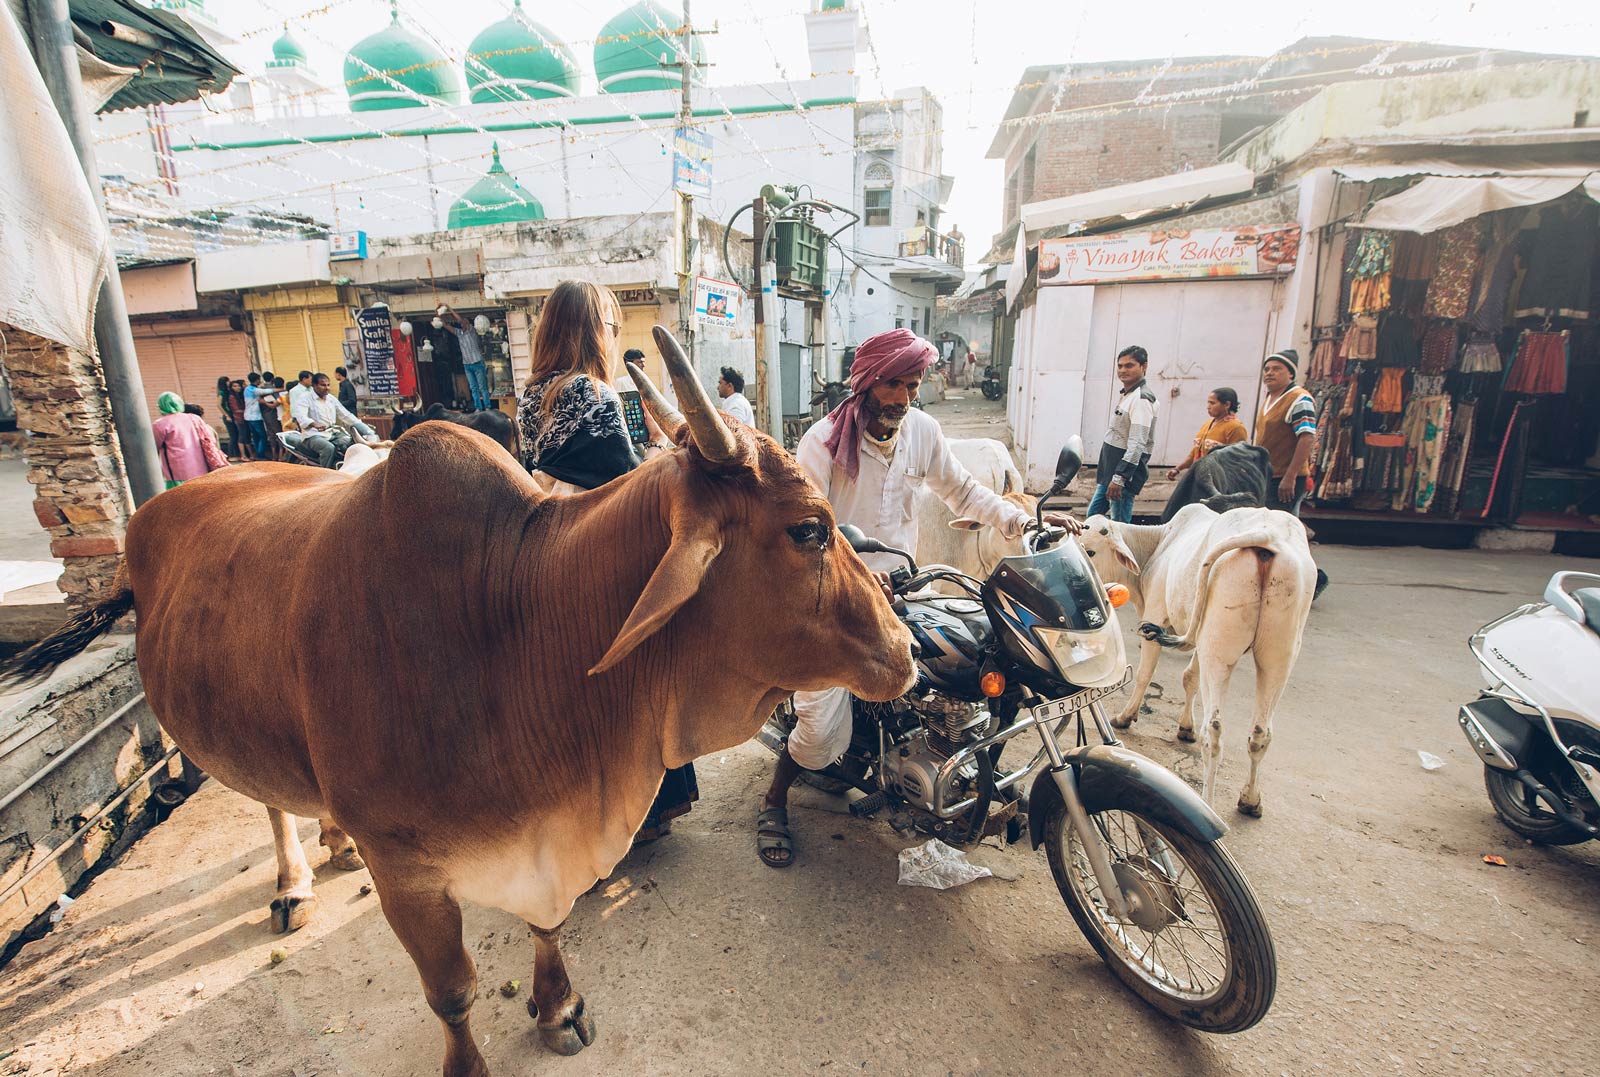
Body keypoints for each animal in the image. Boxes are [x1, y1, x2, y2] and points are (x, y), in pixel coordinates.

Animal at [6, 328, 915, 1075]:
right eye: (809, 528)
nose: (904, 649)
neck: (510, 627)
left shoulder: (545, 835)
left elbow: (548, 926)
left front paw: (557, 1006)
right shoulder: (409, 871)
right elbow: (452, 989)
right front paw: (470, 1059)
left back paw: (330, 841)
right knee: (266, 800)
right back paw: (294, 879)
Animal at [1075, 505, 1312, 816]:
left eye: (1090, 551)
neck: (1158, 546)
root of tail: (1268, 536)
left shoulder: (1155, 614)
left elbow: (1145, 674)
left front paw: (1126, 716)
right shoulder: (1199, 639)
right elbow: (1190, 679)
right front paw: (1184, 727)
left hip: (1219, 647)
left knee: (1214, 732)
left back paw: (1208, 803)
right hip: (1276, 655)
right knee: (1261, 733)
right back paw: (1250, 799)